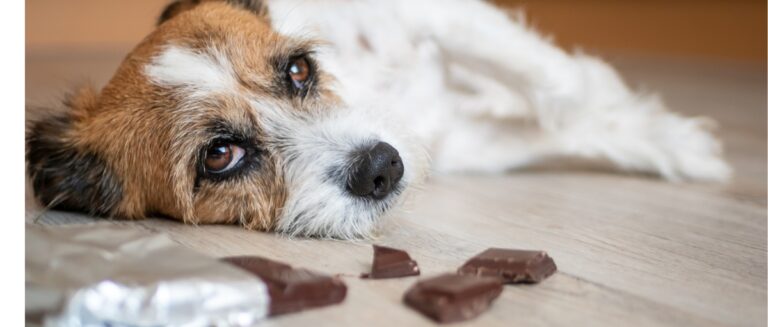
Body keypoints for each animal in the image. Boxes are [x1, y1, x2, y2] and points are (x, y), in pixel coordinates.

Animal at [25, 0, 732, 241]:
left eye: (299, 70)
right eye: (219, 156)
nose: (383, 167)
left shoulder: (437, 12)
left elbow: (557, 84)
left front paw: (673, 140)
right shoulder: (466, 142)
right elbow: (552, 122)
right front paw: (659, 136)